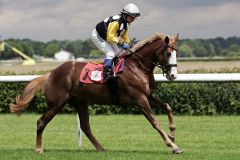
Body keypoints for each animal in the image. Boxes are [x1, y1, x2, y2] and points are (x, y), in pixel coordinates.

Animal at [8, 32, 182, 154]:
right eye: (168, 53)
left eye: (176, 53)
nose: (173, 75)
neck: (137, 67)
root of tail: (50, 74)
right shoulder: (139, 98)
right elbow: (155, 122)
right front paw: (173, 145)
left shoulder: (148, 96)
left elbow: (167, 106)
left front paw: (172, 134)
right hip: (56, 103)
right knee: (41, 122)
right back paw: (38, 149)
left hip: (80, 102)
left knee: (85, 126)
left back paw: (100, 147)